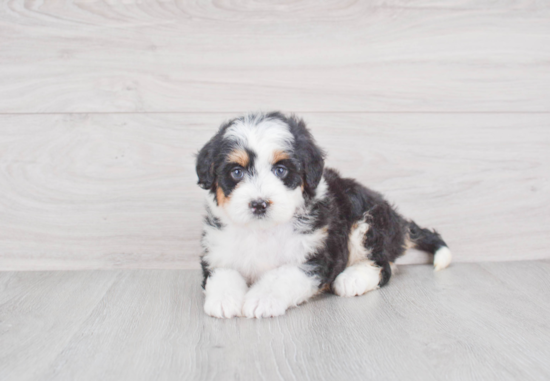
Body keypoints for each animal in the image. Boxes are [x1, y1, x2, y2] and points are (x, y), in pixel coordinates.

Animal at [196, 112, 450, 318]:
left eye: (281, 170)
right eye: (236, 172)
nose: (259, 204)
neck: (263, 230)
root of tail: (399, 223)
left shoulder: (316, 255)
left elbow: (283, 275)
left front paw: (262, 299)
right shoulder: (217, 251)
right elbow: (223, 273)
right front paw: (223, 300)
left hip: (368, 221)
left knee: (383, 266)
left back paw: (351, 279)